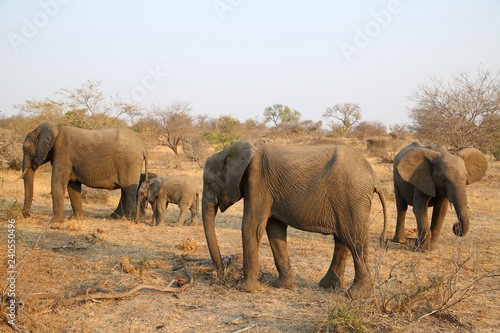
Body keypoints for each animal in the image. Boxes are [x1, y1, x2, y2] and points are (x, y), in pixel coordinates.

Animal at [200, 140, 386, 298]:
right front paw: (284, 286)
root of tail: (373, 177)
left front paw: (245, 289)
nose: (224, 278)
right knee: (342, 238)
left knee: (353, 238)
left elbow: (251, 227)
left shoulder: (257, 182)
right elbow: (274, 230)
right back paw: (328, 286)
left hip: (352, 196)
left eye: (208, 183)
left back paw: (355, 295)